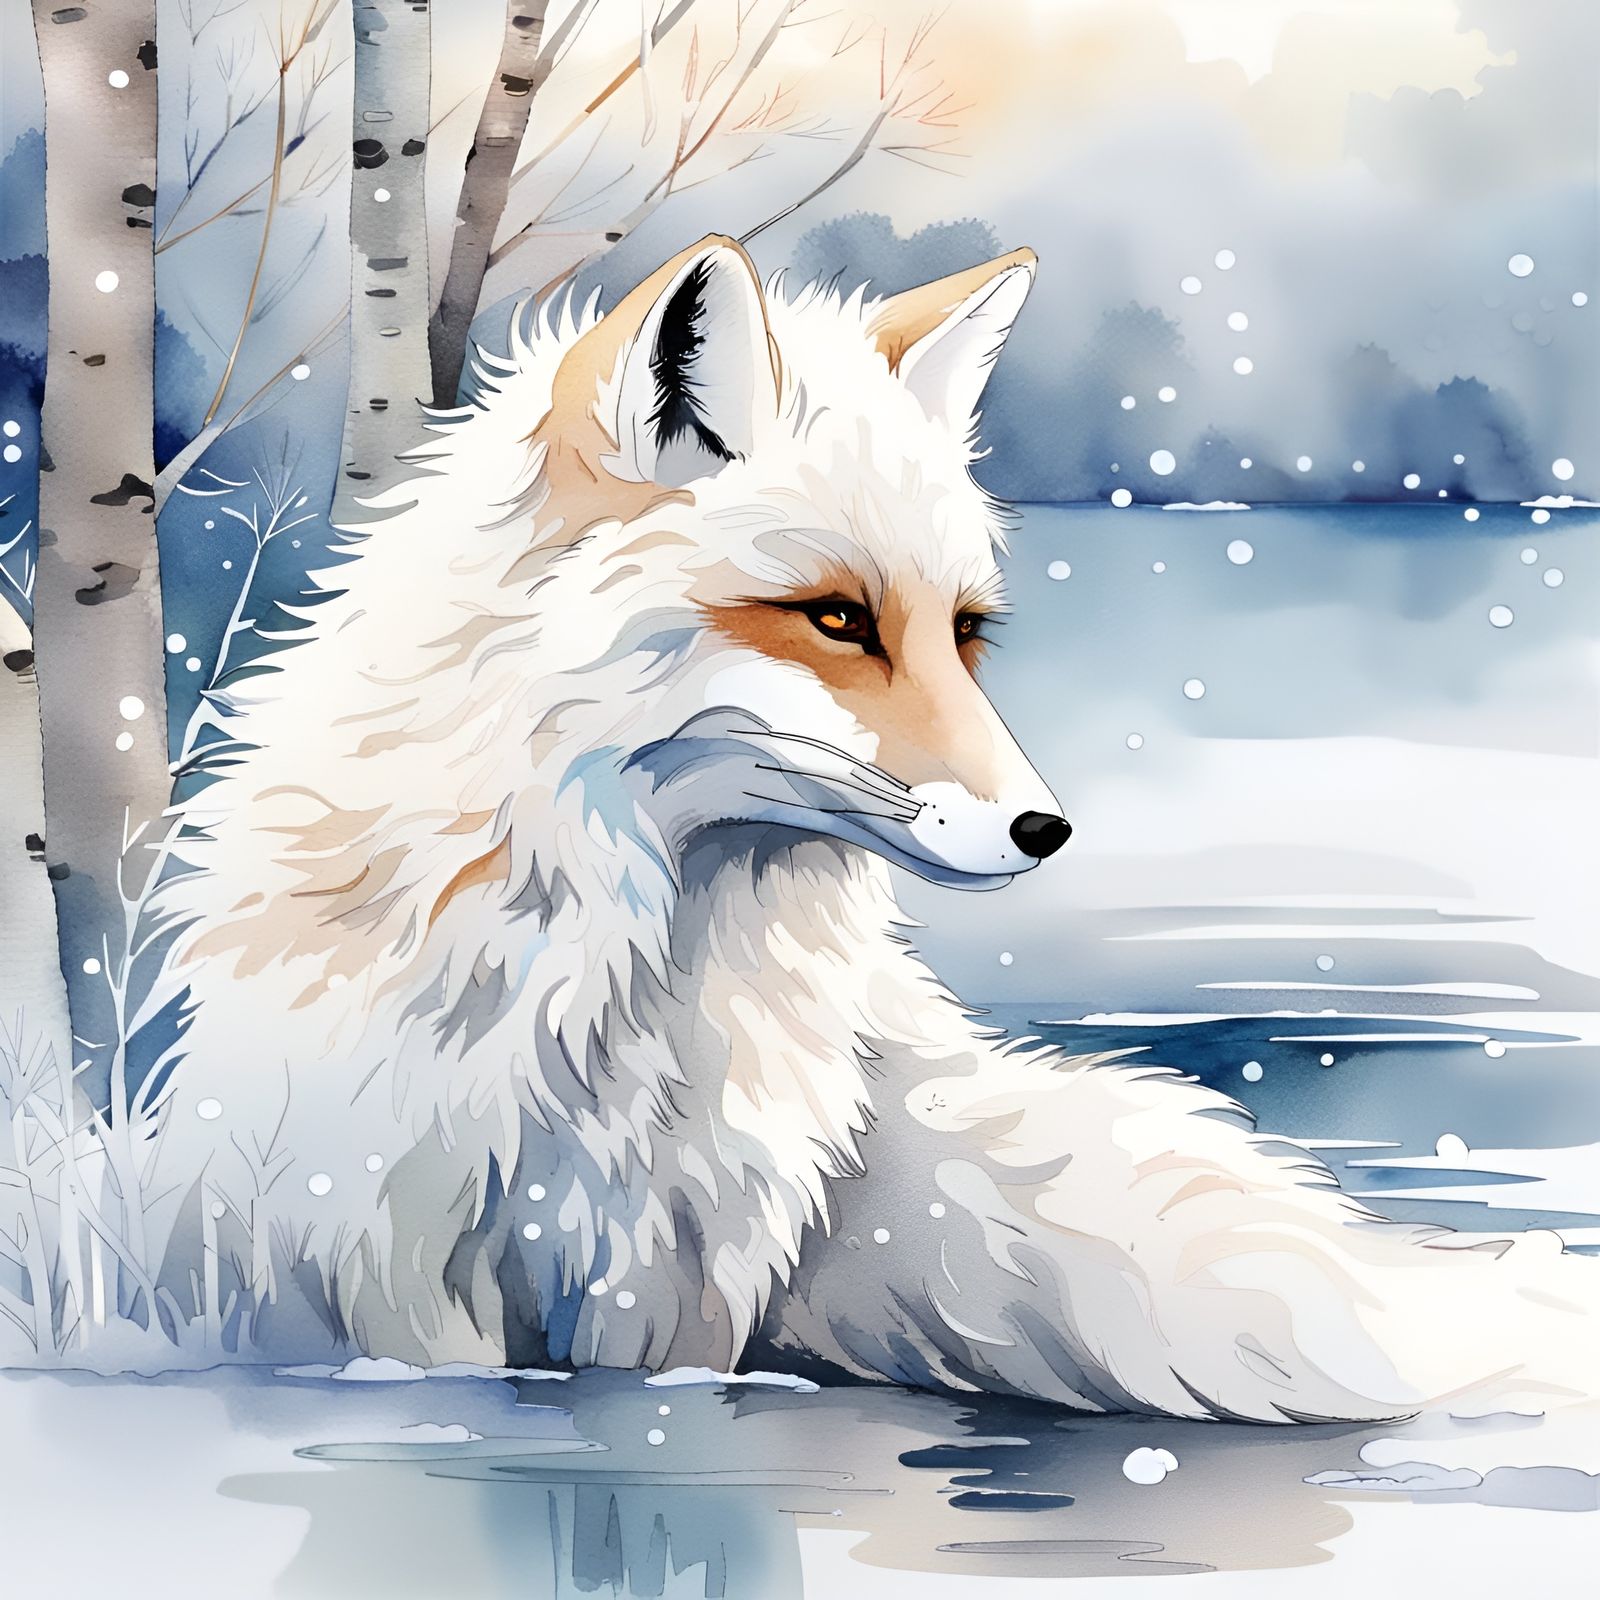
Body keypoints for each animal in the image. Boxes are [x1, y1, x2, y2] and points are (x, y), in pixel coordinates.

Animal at [147, 235, 1598, 1420]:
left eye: (964, 631)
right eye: (838, 618)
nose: (1046, 830)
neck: (617, 1000)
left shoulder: (684, 1274)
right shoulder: (386, 1251)